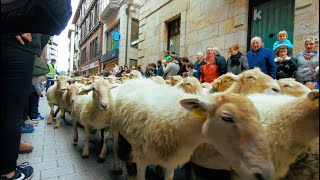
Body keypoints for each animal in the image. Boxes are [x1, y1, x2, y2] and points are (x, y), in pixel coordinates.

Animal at [111, 79, 274, 180]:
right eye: (227, 118)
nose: (264, 173)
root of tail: (138, 79)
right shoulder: (142, 159)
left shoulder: (172, 161)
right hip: (116, 128)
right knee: (115, 147)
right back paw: (118, 166)